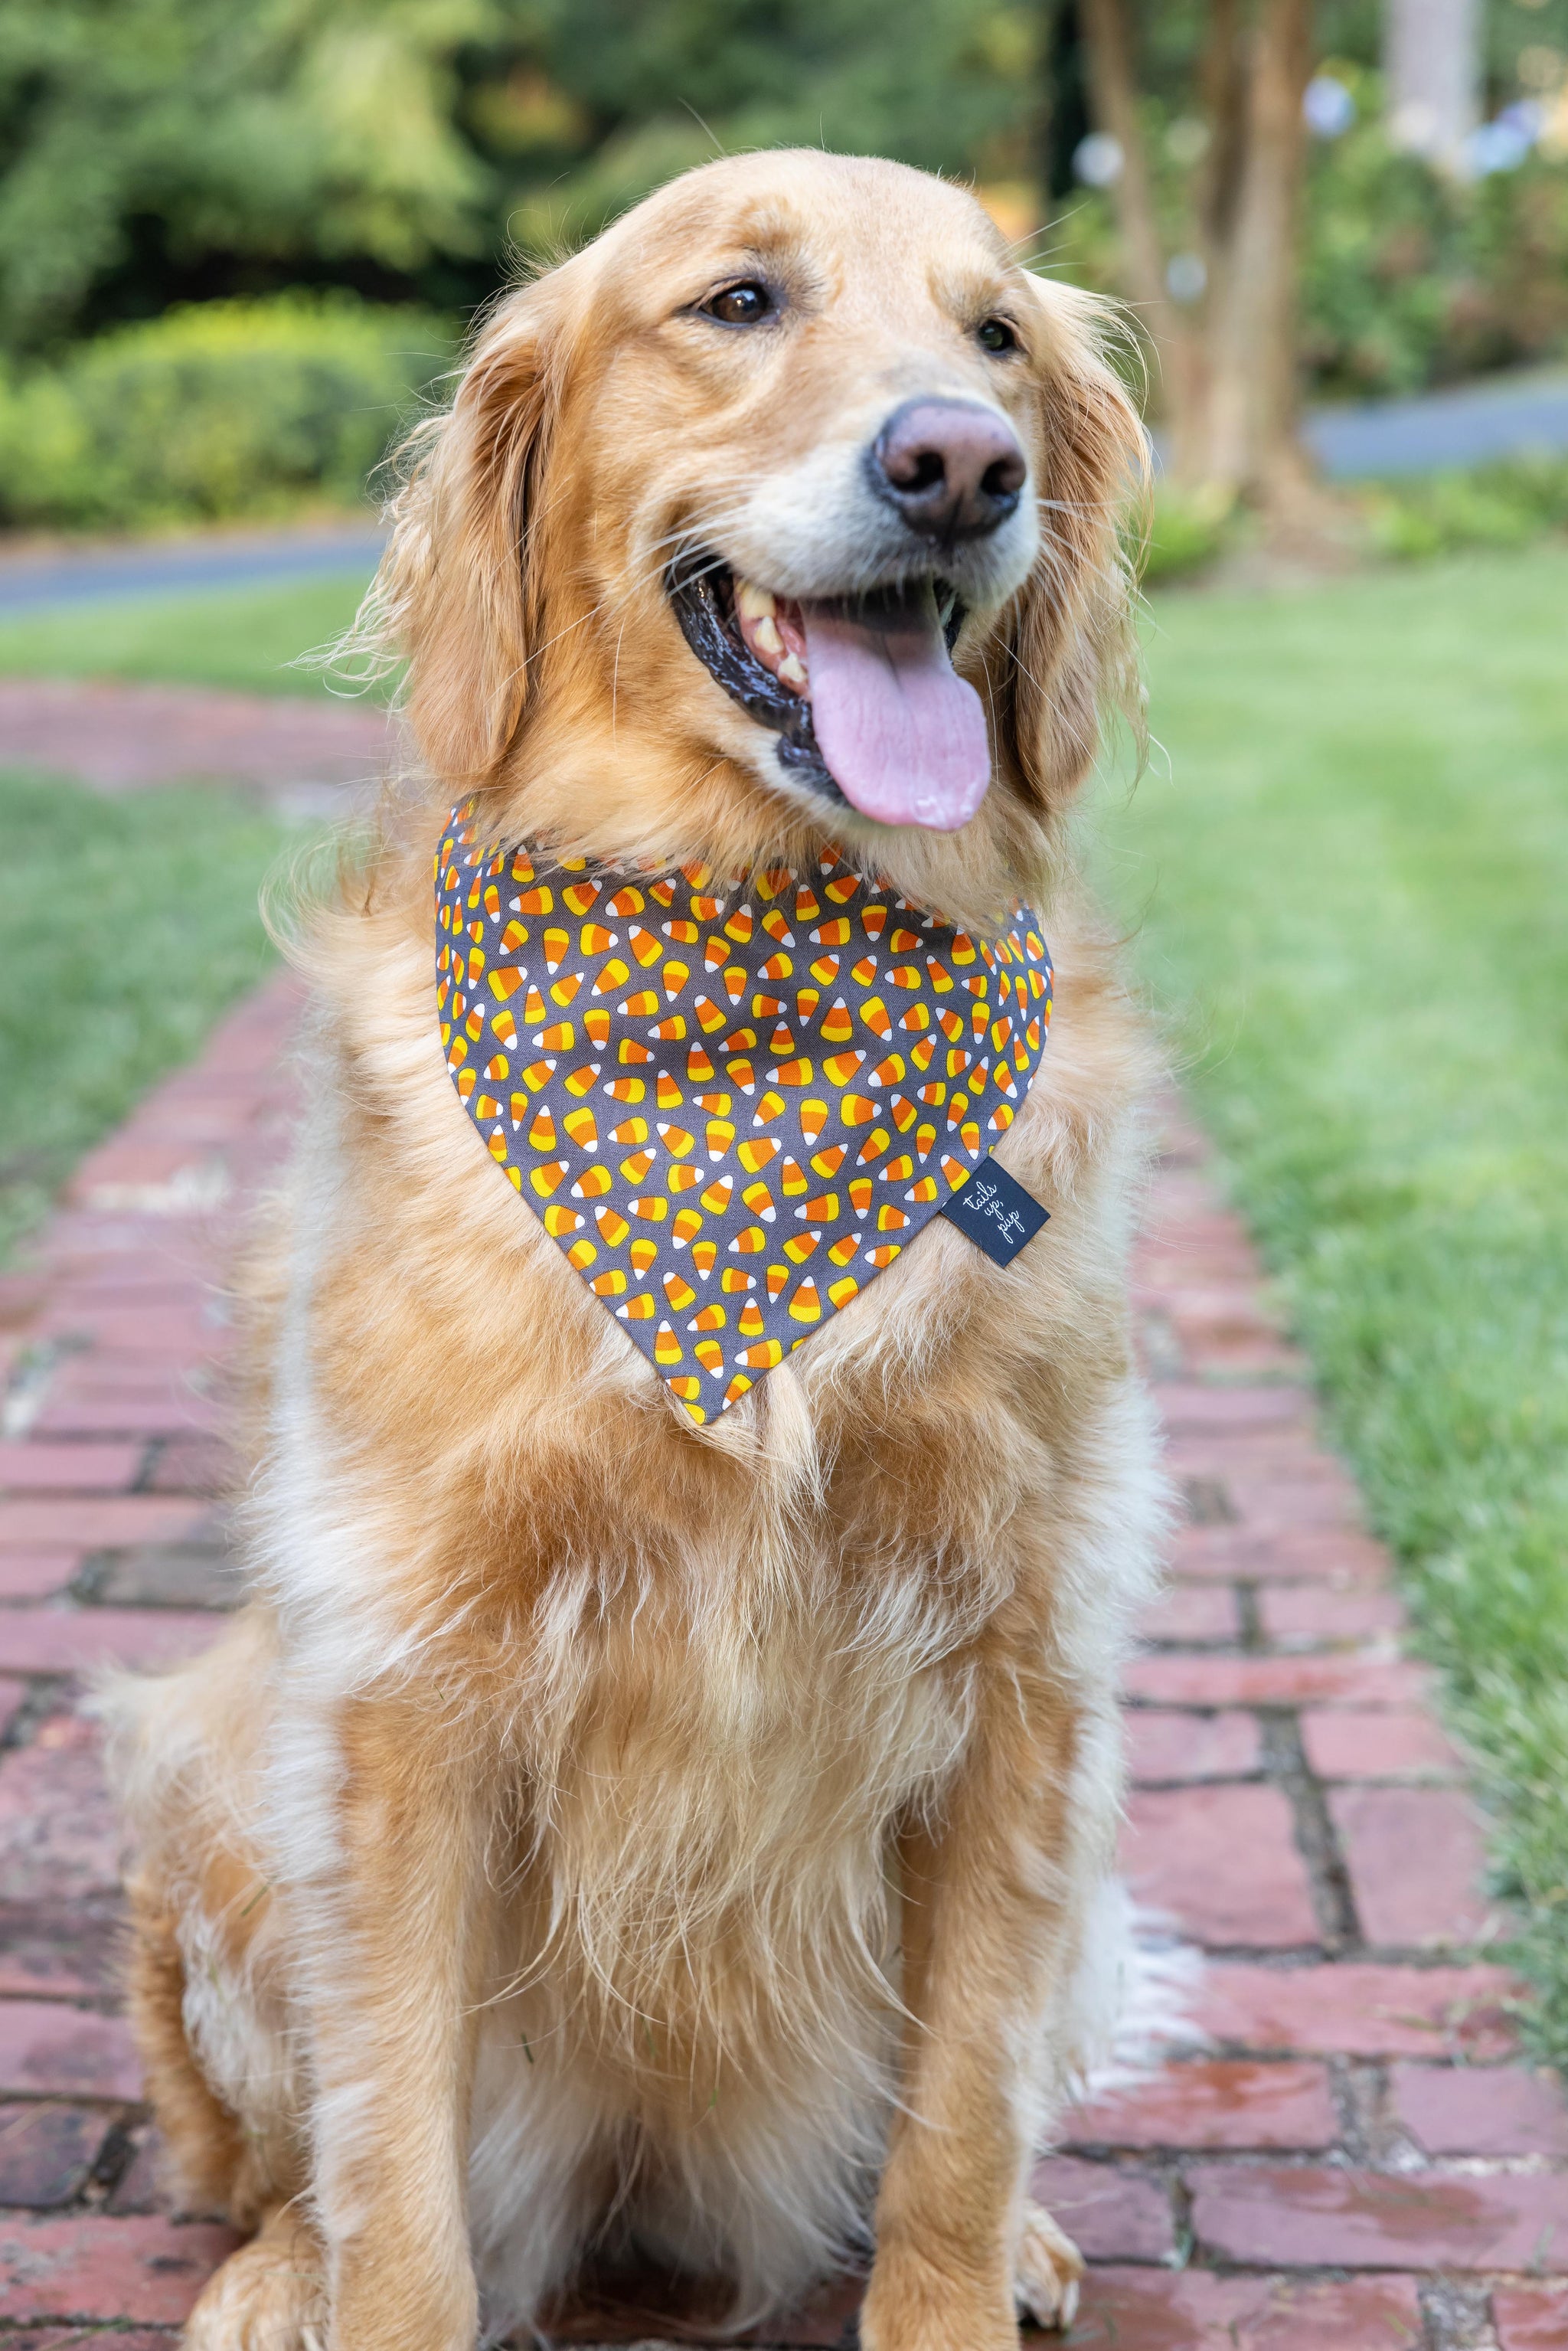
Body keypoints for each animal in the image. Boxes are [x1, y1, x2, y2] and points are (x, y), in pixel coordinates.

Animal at [107, 152, 1165, 2351]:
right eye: (738, 300)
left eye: (998, 334)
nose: (965, 462)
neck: (747, 972)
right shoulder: (402, 1683)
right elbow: (393, 2177)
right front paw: (356, 2282)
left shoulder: (1031, 1657)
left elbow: (956, 2122)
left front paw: (960, 2275)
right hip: (216, 1769)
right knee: (276, 2163)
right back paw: (269, 2271)